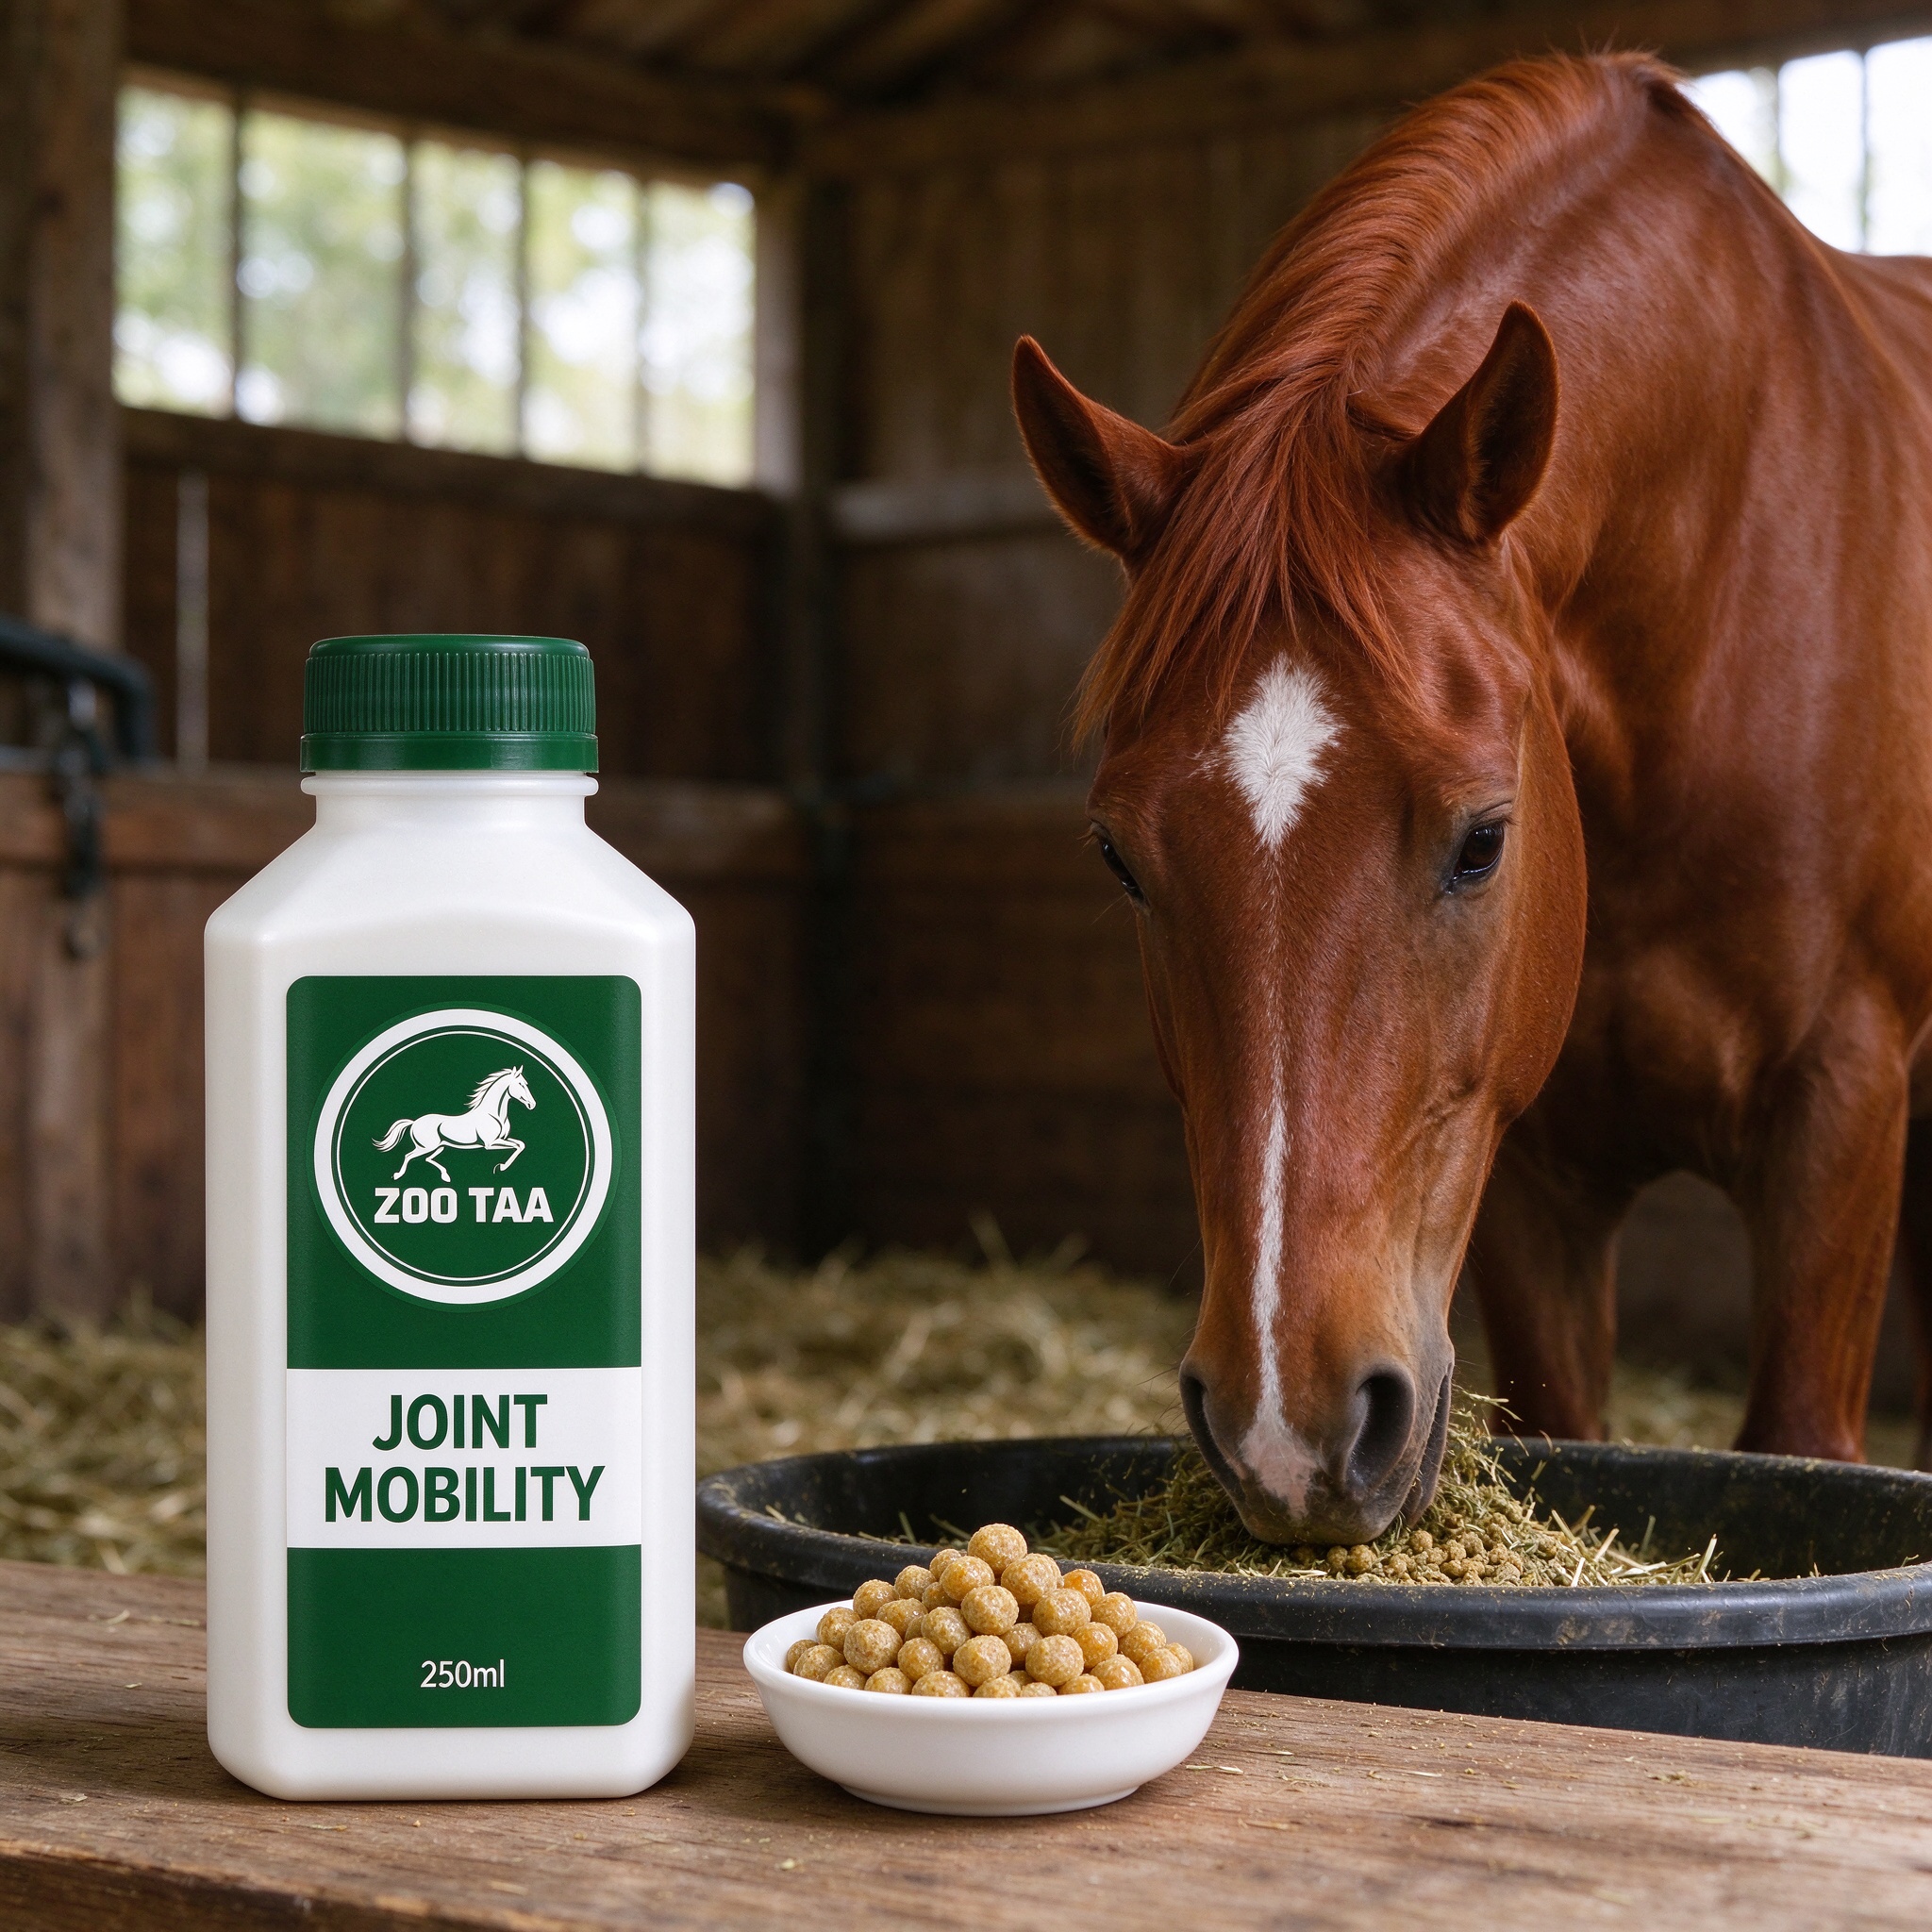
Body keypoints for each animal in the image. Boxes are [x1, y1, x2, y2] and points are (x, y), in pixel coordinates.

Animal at [373, 1066, 534, 1184]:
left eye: (526, 1084)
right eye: (521, 1084)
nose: (532, 1105)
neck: (493, 1114)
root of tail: (414, 1122)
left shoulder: (502, 1139)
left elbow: (520, 1145)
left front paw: (501, 1167)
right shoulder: (490, 1144)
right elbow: (517, 1146)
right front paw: (501, 1167)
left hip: (440, 1146)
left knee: (427, 1159)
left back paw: (446, 1176)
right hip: (426, 1147)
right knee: (408, 1156)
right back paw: (398, 1175)